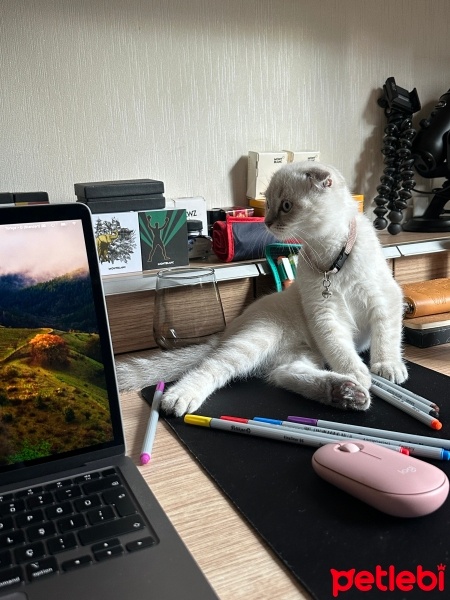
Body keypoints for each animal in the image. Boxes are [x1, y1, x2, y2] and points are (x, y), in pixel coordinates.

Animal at [116, 162, 408, 420]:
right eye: (268, 204)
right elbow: (340, 349)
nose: (266, 221)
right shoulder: (325, 315)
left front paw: (387, 367)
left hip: (300, 353)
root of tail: (224, 334)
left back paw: (344, 393)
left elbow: (387, 338)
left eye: (287, 206)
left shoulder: (385, 300)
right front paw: (357, 372)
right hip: (258, 338)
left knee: (286, 373)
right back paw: (178, 397)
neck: (332, 257)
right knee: (213, 365)